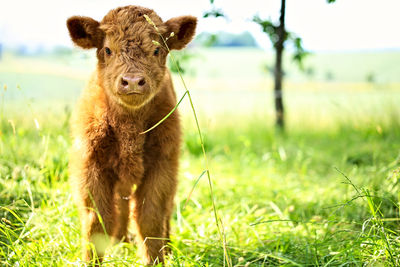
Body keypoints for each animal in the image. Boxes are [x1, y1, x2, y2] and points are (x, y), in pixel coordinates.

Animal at [66, 4, 197, 266]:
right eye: (108, 49)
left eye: (157, 49)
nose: (133, 81)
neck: (130, 129)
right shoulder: (91, 166)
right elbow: (98, 222)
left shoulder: (162, 166)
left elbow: (150, 218)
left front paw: (155, 259)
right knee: (120, 207)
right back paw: (120, 241)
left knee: (164, 211)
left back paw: (165, 247)